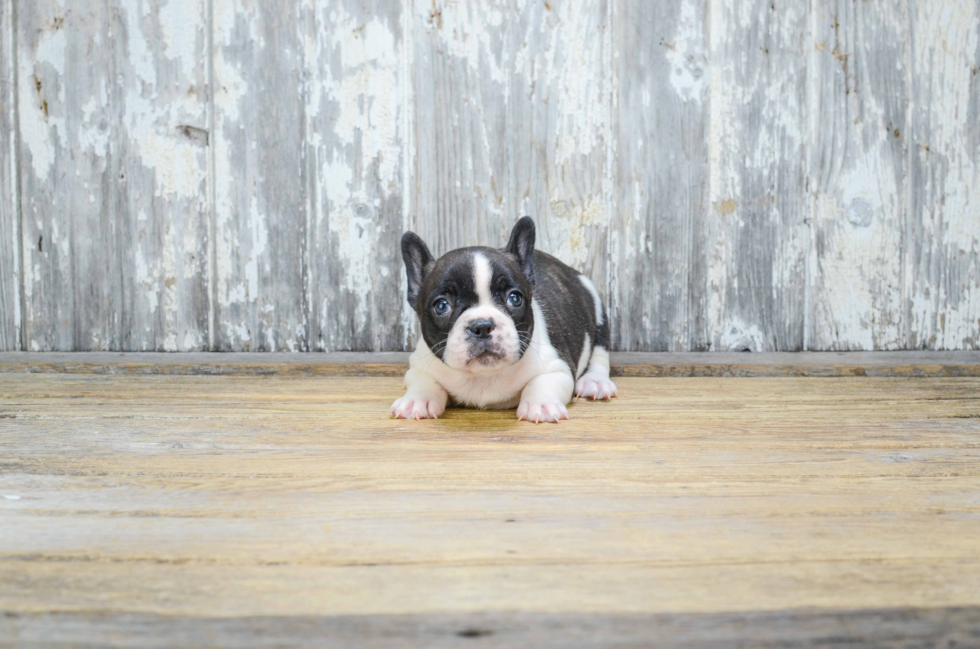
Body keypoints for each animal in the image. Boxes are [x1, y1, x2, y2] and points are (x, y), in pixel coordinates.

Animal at [388, 215, 612, 422]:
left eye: (515, 298)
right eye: (442, 306)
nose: (482, 326)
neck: (484, 375)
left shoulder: (558, 367)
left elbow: (542, 382)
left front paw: (541, 404)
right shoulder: (419, 364)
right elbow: (424, 380)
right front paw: (416, 400)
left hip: (597, 309)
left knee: (600, 353)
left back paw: (595, 382)